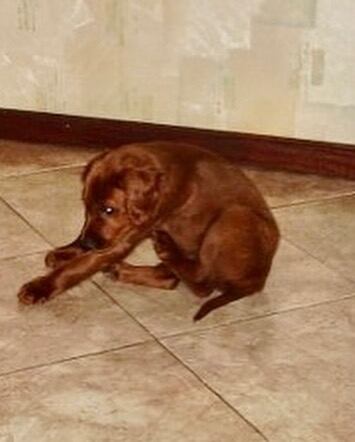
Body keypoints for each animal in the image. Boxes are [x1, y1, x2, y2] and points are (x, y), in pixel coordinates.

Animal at [17, 143, 280, 320]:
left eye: (109, 209)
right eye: (87, 206)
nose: (88, 244)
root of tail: (258, 279)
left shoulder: (130, 232)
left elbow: (79, 267)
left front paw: (39, 288)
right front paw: (67, 251)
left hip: (233, 217)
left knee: (202, 284)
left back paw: (165, 250)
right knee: (171, 277)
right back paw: (125, 268)